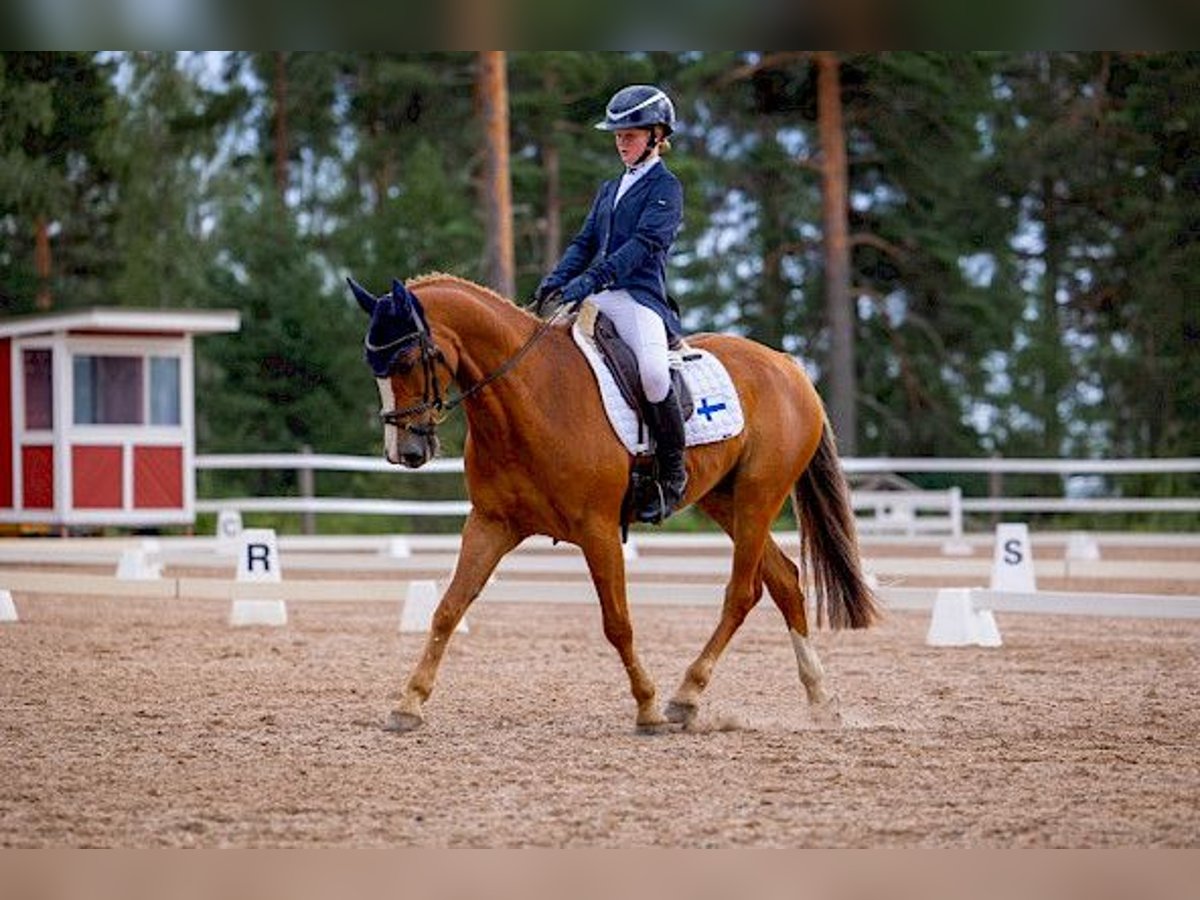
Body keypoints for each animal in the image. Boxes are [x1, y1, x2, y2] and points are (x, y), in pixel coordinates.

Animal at [350, 273, 883, 734]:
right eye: (373, 367)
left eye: (407, 360)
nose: (405, 453)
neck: (531, 396)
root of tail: (787, 366)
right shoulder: (491, 524)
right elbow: (448, 608)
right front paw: (409, 704)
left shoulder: (598, 529)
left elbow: (618, 622)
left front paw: (647, 708)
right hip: (724, 500)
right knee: (784, 581)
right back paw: (819, 701)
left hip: (759, 495)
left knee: (742, 592)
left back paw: (685, 696)